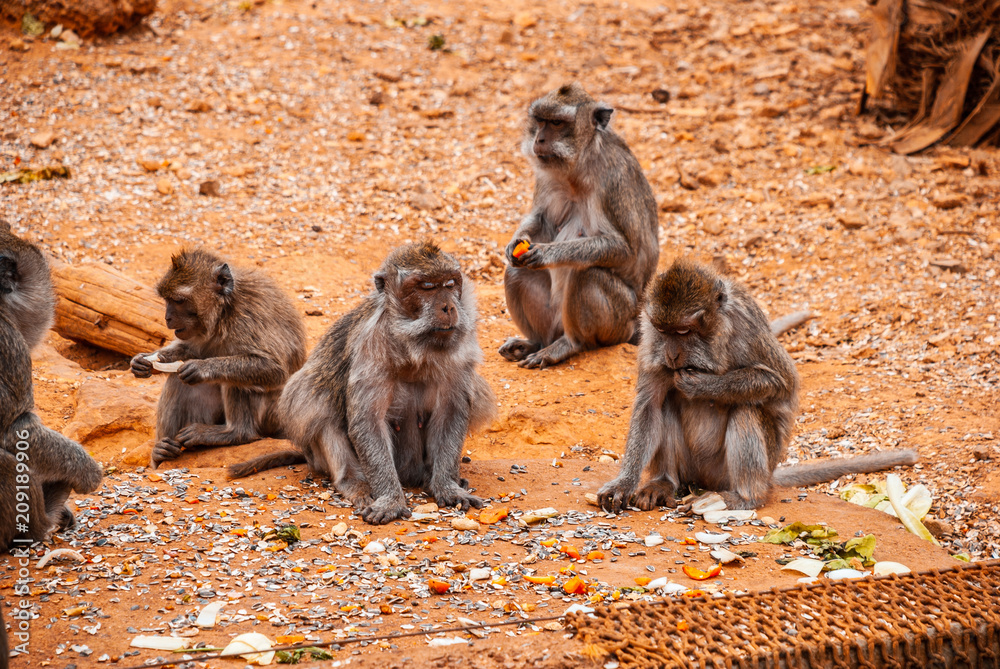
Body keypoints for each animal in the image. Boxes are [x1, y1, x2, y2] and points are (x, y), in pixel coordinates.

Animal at [130, 248, 307, 469]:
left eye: (179, 301)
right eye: (167, 300)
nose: (167, 318)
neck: (224, 311)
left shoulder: (248, 318)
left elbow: (274, 369)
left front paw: (201, 367)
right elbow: (188, 349)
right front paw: (143, 362)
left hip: (272, 415)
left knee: (237, 381)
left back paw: (235, 433)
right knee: (178, 381)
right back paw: (161, 452)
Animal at [228, 242, 496, 525]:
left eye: (450, 284)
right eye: (426, 287)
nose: (449, 307)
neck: (412, 346)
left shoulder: (461, 348)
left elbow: (450, 414)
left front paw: (447, 486)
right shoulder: (370, 344)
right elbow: (368, 421)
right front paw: (390, 499)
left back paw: (436, 479)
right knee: (314, 398)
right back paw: (354, 483)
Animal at [499, 83, 659, 369]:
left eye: (556, 123)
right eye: (540, 121)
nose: (539, 140)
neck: (577, 167)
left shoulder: (613, 181)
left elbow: (624, 248)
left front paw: (547, 253)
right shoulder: (546, 176)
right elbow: (540, 219)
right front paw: (515, 242)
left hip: (618, 323)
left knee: (587, 274)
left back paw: (569, 345)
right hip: (553, 321)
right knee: (516, 271)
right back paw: (535, 343)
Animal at [597, 259, 918, 512]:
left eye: (684, 331)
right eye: (664, 331)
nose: (672, 355)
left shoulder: (745, 326)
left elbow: (781, 381)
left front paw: (703, 385)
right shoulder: (650, 339)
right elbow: (649, 405)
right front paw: (624, 483)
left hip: (732, 471)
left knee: (746, 409)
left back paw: (744, 497)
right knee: (666, 404)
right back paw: (663, 482)